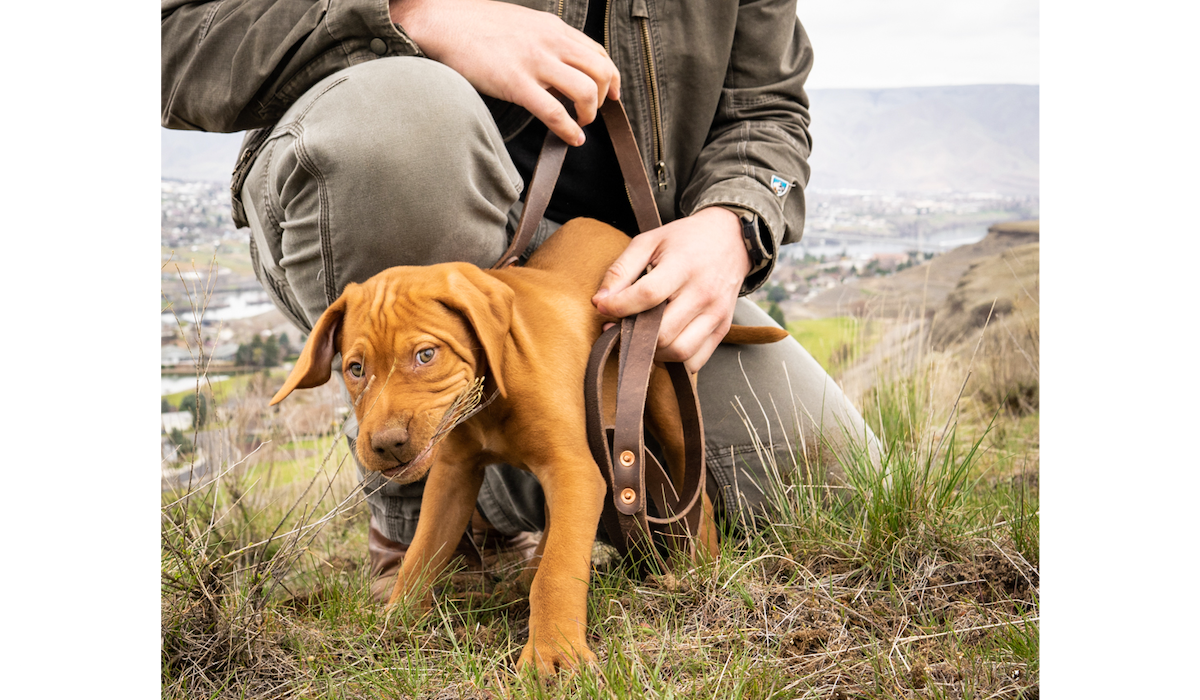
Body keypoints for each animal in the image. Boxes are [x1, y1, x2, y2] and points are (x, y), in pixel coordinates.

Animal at [270, 218, 787, 672]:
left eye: (426, 355)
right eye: (355, 369)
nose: (385, 444)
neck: (491, 395)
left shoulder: (575, 469)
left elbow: (559, 569)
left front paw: (553, 655)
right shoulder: (453, 474)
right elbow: (423, 550)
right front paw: (395, 623)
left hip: (662, 393)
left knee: (694, 491)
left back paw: (701, 571)